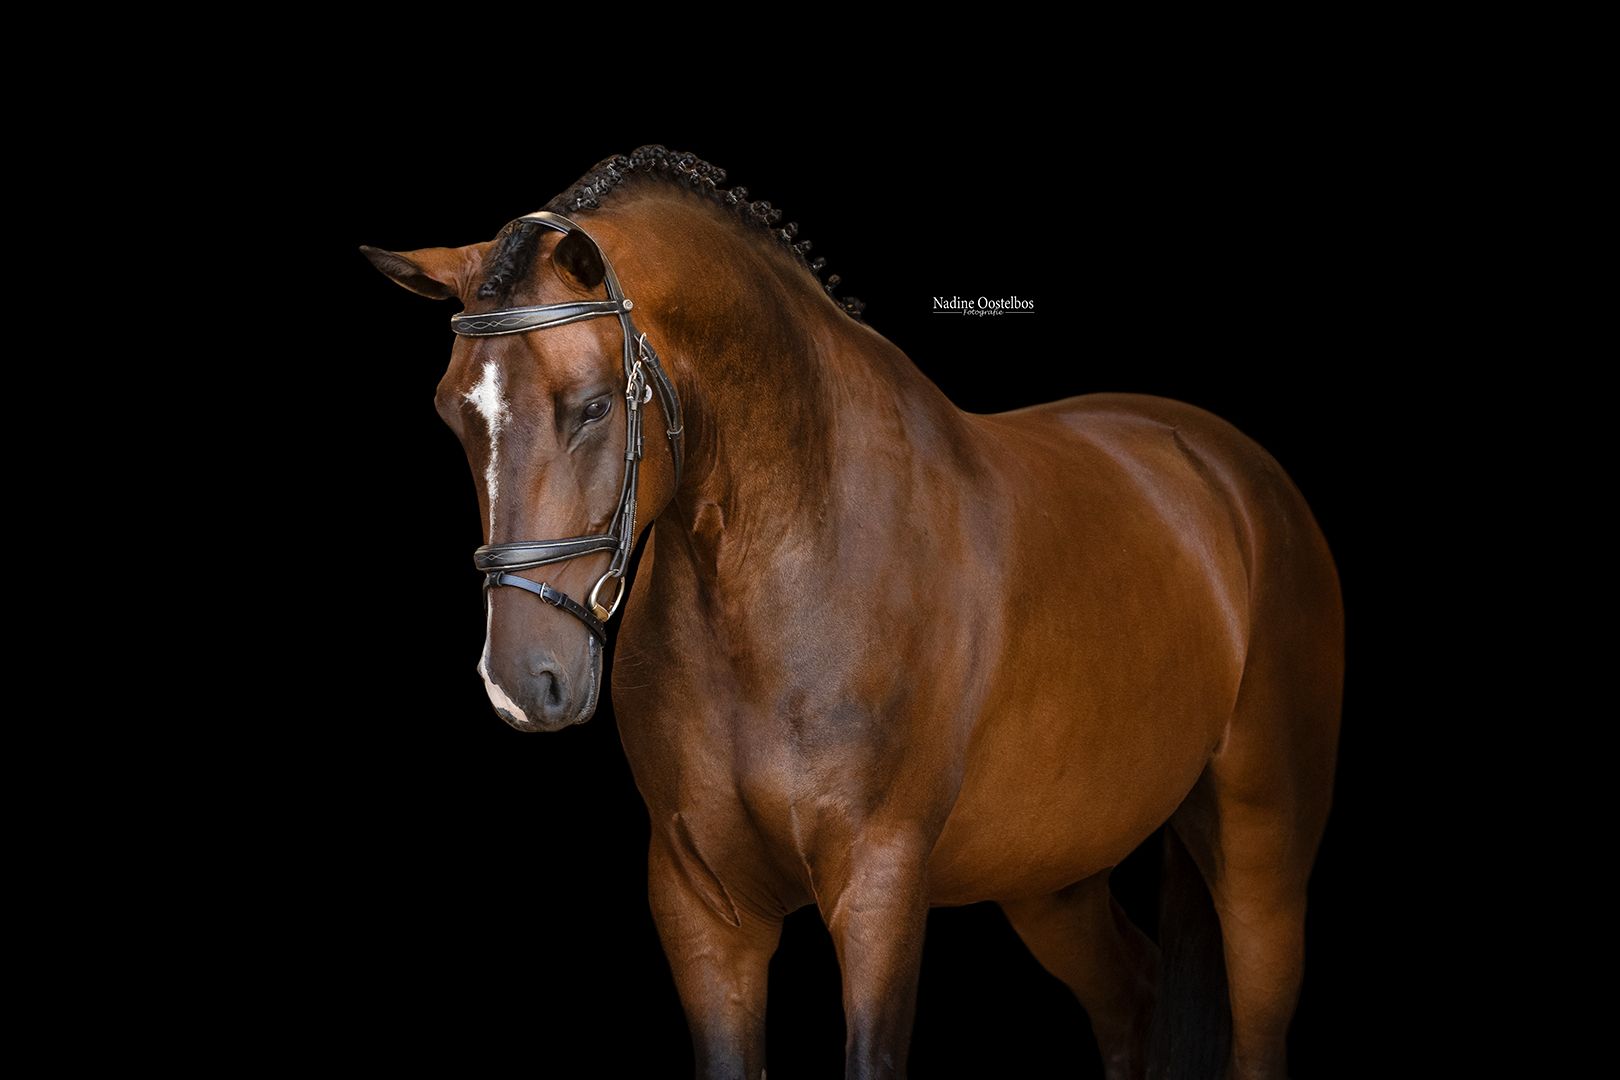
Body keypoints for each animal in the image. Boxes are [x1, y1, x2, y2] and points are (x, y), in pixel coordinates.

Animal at [362, 146, 1343, 1080]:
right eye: (454, 416)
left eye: (595, 405)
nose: (522, 683)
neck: (782, 579)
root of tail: (1228, 468)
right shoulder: (701, 907)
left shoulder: (880, 885)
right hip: (1052, 873)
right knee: (1134, 996)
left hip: (1262, 855)